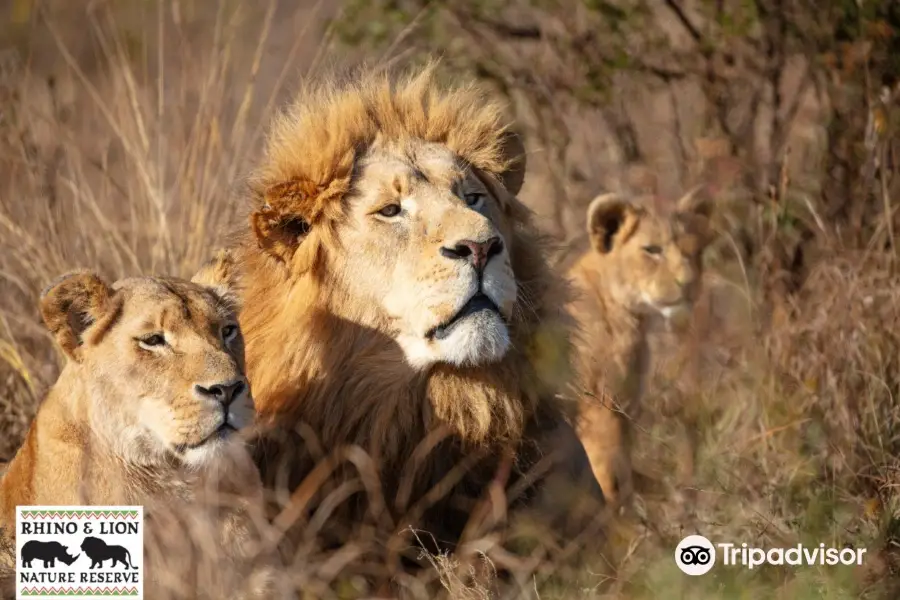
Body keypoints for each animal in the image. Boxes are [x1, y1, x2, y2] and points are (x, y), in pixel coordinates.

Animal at [568, 191, 712, 506]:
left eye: (694, 251)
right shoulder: (598, 407)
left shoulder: (623, 410)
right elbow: (612, 479)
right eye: (652, 250)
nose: (689, 282)